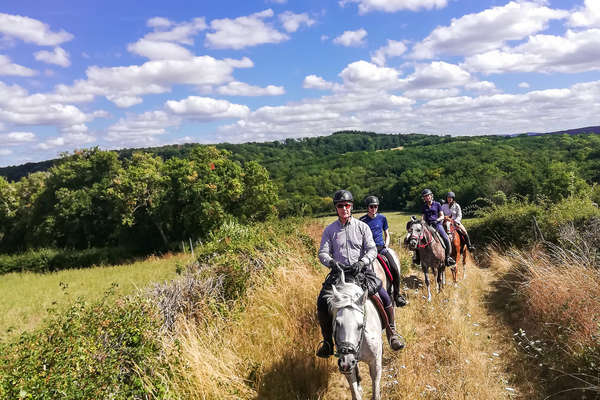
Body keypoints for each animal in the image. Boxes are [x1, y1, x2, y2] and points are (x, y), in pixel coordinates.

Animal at [328, 266, 384, 400]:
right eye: (337, 323)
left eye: (360, 326)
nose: (346, 362)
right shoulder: (347, 367)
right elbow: (355, 392)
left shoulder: (375, 364)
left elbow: (375, 392)